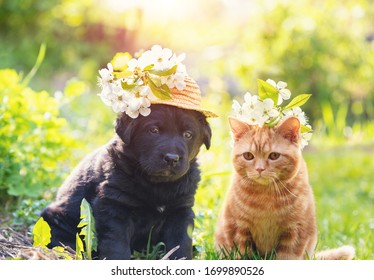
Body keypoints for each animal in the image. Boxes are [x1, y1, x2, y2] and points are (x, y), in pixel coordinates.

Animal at [41, 104, 212, 260]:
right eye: (153, 130)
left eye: (188, 134)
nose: (172, 158)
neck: (157, 184)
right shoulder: (114, 207)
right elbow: (117, 243)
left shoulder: (180, 210)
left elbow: (181, 242)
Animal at [215, 116, 356, 260]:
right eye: (248, 156)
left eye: (274, 156)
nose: (259, 169)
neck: (265, 198)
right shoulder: (237, 229)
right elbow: (242, 254)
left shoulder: (296, 231)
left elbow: (287, 256)